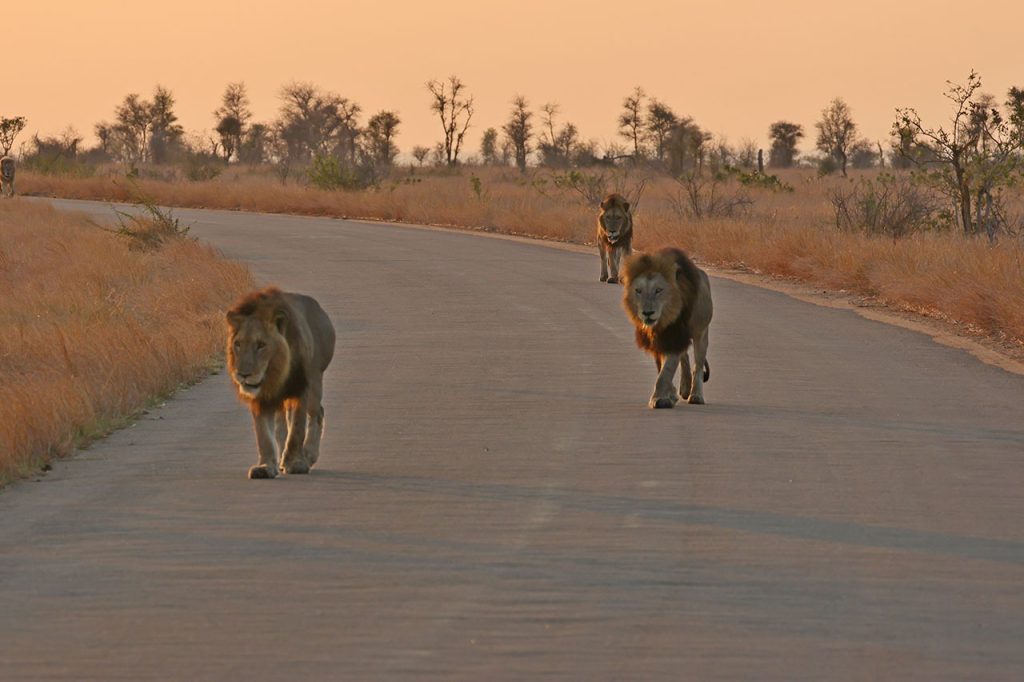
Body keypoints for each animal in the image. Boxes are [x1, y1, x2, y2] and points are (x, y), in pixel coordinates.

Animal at [226, 287, 336, 479]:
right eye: (238, 344)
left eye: (261, 345)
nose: (243, 374)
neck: (275, 373)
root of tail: (318, 308)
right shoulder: (261, 398)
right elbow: (264, 435)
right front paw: (265, 466)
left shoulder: (300, 388)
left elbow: (297, 429)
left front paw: (296, 463)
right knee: (281, 425)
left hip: (315, 383)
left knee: (317, 413)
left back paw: (308, 455)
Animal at [621, 247, 713, 408]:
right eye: (638, 290)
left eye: (658, 290)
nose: (647, 313)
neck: (663, 320)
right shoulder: (659, 340)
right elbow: (662, 369)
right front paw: (670, 395)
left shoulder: (673, 337)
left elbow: (665, 372)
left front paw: (659, 399)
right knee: (685, 357)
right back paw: (684, 388)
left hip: (701, 333)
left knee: (698, 365)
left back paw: (696, 395)